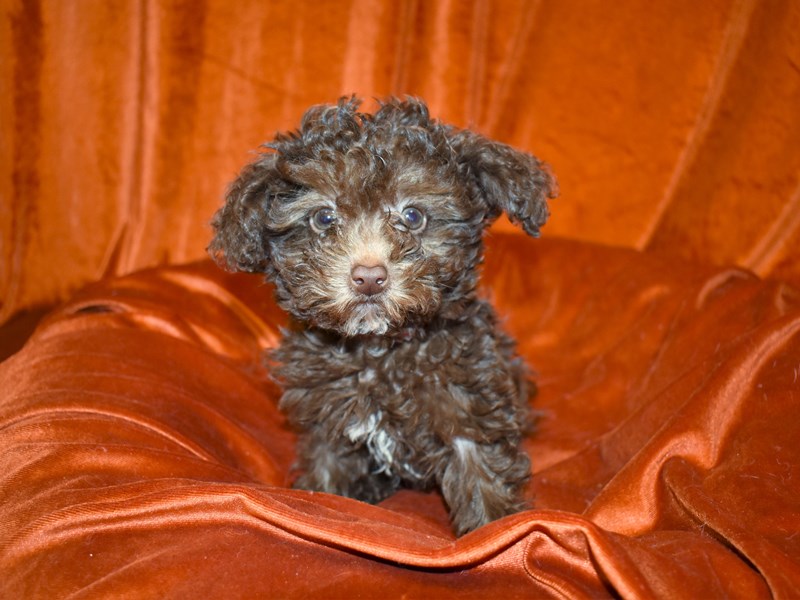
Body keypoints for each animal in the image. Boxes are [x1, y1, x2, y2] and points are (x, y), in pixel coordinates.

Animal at [209, 97, 552, 536]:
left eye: (413, 216)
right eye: (323, 218)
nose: (369, 277)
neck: (380, 349)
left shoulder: (469, 403)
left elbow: (482, 477)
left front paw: (498, 533)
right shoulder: (330, 421)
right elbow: (327, 478)